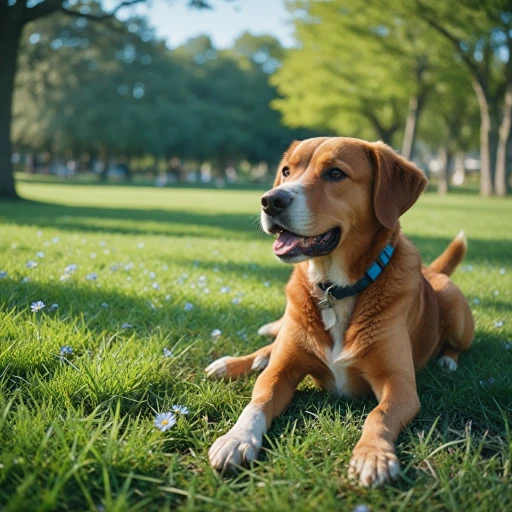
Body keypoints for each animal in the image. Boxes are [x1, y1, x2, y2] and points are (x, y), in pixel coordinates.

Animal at [205, 137, 476, 488]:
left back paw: (446, 361)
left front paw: (373, 455)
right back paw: (233, 363)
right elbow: (257, 401)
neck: (334, 288)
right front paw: (236, 439)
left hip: (455, 309)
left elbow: (378, 415)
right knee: (270, 349)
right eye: (286, 171)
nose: (270, 201)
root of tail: (432, 272)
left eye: (335, 173)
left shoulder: (400, 384)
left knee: (456, 345)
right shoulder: (281, 370)